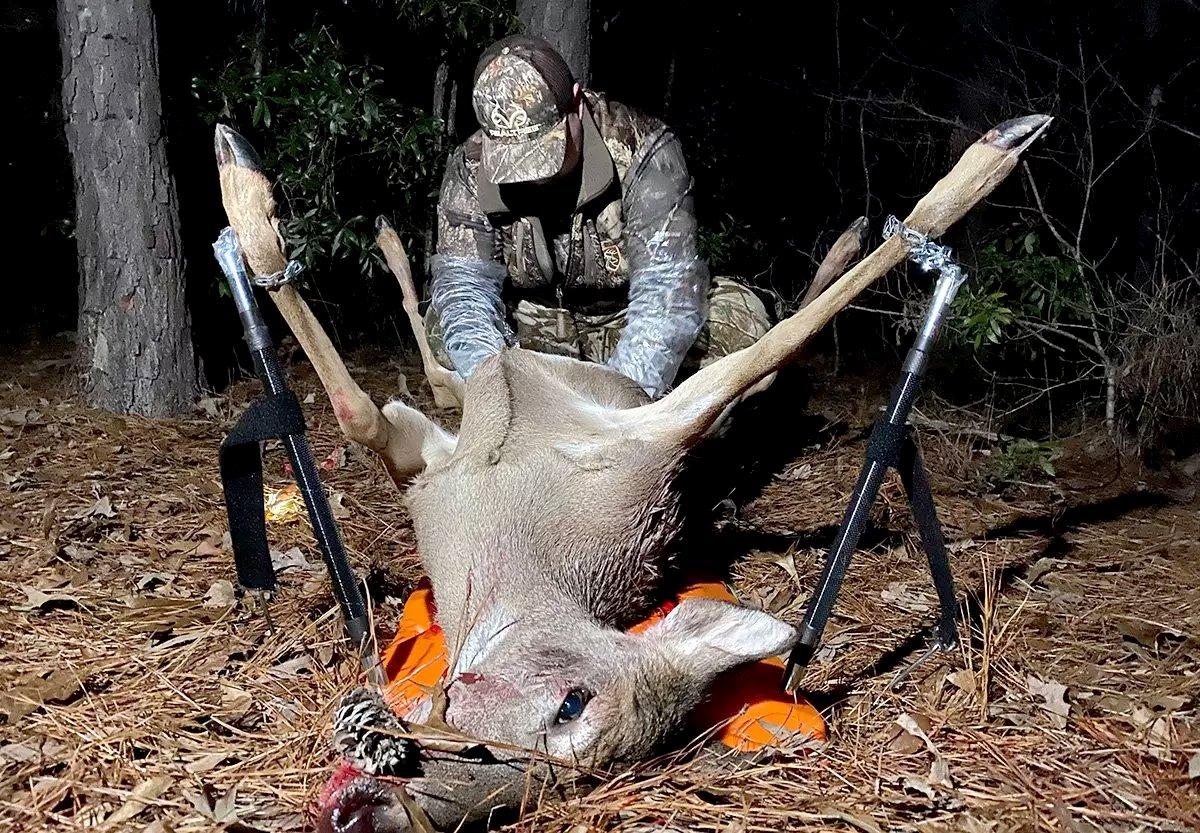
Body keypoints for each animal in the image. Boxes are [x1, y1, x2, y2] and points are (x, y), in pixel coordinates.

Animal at [213, 114, 1050, 833]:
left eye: (572, 715)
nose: (368, 809)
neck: (513, 538)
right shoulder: (438, 459)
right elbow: (358, 404)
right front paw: (245, 194)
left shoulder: (648, 434)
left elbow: (764, 351)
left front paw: (975, 174)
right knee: (449, 361)